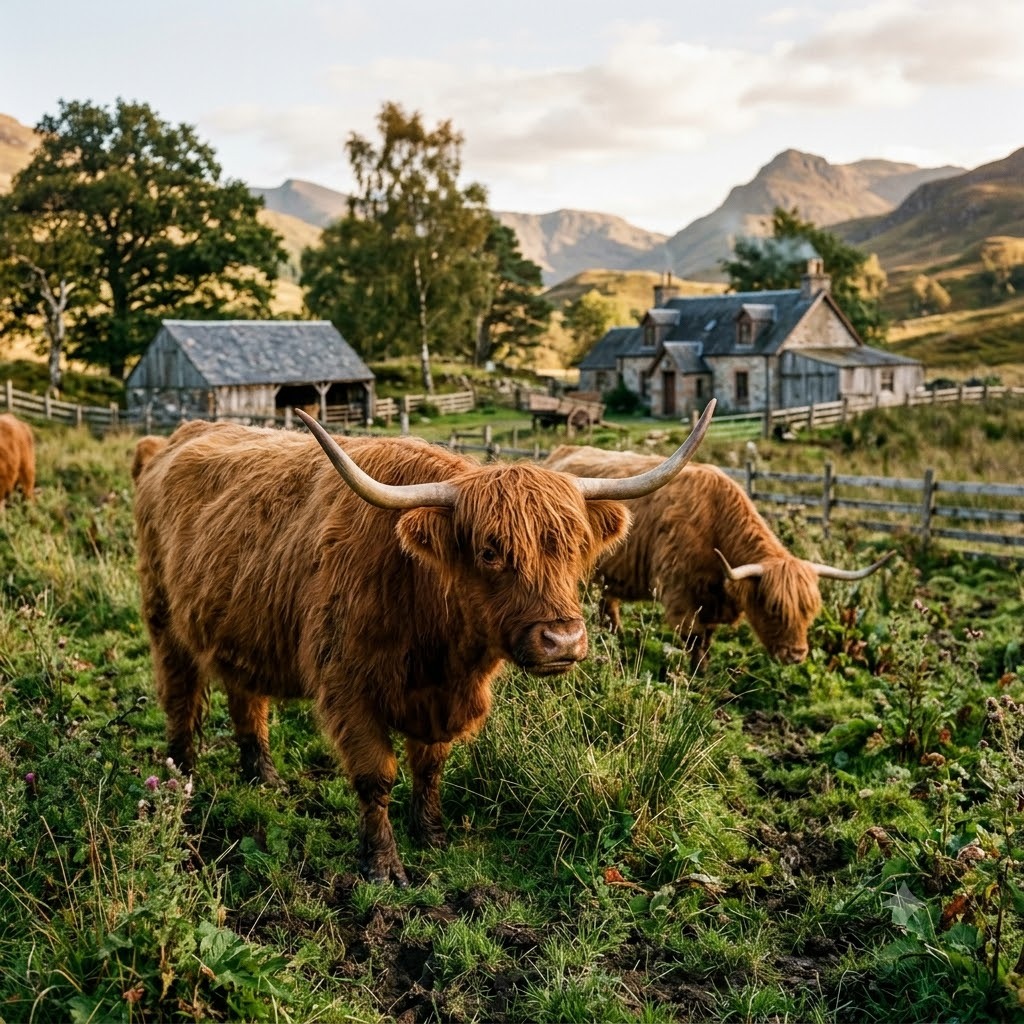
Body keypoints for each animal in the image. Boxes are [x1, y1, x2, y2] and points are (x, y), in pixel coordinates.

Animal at [131, 402, 715, 884]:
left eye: (574, 547)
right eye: (489, 551)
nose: (562, 640)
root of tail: (174, 439)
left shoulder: (439, 698)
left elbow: (430, 766)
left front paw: (431, 835)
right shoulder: (348, 689)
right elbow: (376, 776)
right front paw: (383, 865)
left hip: (237, 624)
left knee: (246, 697)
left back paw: (265, 777)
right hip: (163, 618)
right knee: (180, 695)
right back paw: (181, 778)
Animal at [543, 446, 893, 671]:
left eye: (809, 611)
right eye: (773, 608)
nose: (795, 655)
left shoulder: (709, 600)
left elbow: (708, 639)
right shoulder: (681, 596)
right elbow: (694, 639)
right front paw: (698, 676)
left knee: (609, 603)